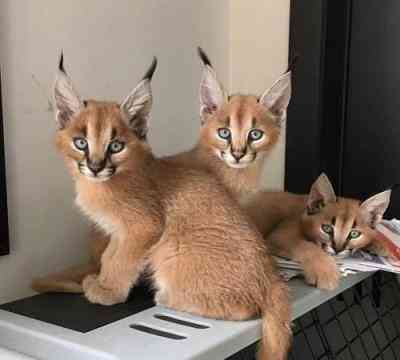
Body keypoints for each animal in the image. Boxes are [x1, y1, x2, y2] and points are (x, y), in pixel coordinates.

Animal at [43, 55, 290, 360]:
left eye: (115, 146)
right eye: (81, 143)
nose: (96, 166)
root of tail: (269, 277)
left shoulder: (143, 226)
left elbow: (123, 260)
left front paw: (108, 291)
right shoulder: (118, 231)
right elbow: (111, 255)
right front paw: (102, 279)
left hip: (172, 250)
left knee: (245, 308)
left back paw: (167, 296)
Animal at [248, 174, 392, 290]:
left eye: (354, 234)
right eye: (326, 228)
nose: (338, 249)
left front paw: (380, 244)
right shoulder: (279, 236)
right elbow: (307, 246)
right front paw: (326, 272)